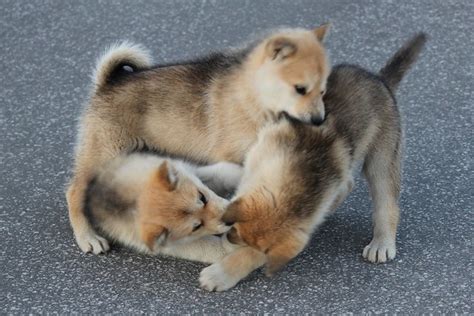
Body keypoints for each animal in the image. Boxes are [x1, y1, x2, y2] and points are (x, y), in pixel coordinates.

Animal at [82, 152, 241, 262]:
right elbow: (216, 247)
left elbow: (223, 173)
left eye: (202, 197)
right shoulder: (174, 245)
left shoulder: (188, 169)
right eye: (196, 227)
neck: (134, 200)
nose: (230, 220)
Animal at [198, 33, 428, 290]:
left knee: (386, 203)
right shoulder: (258, 151)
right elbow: (227, 171)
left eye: (244, 237)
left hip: (383, 156)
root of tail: (379, 79)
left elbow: (252, 255)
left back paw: (382, 243)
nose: (227, 238)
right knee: (348, 184)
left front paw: (220, 273)